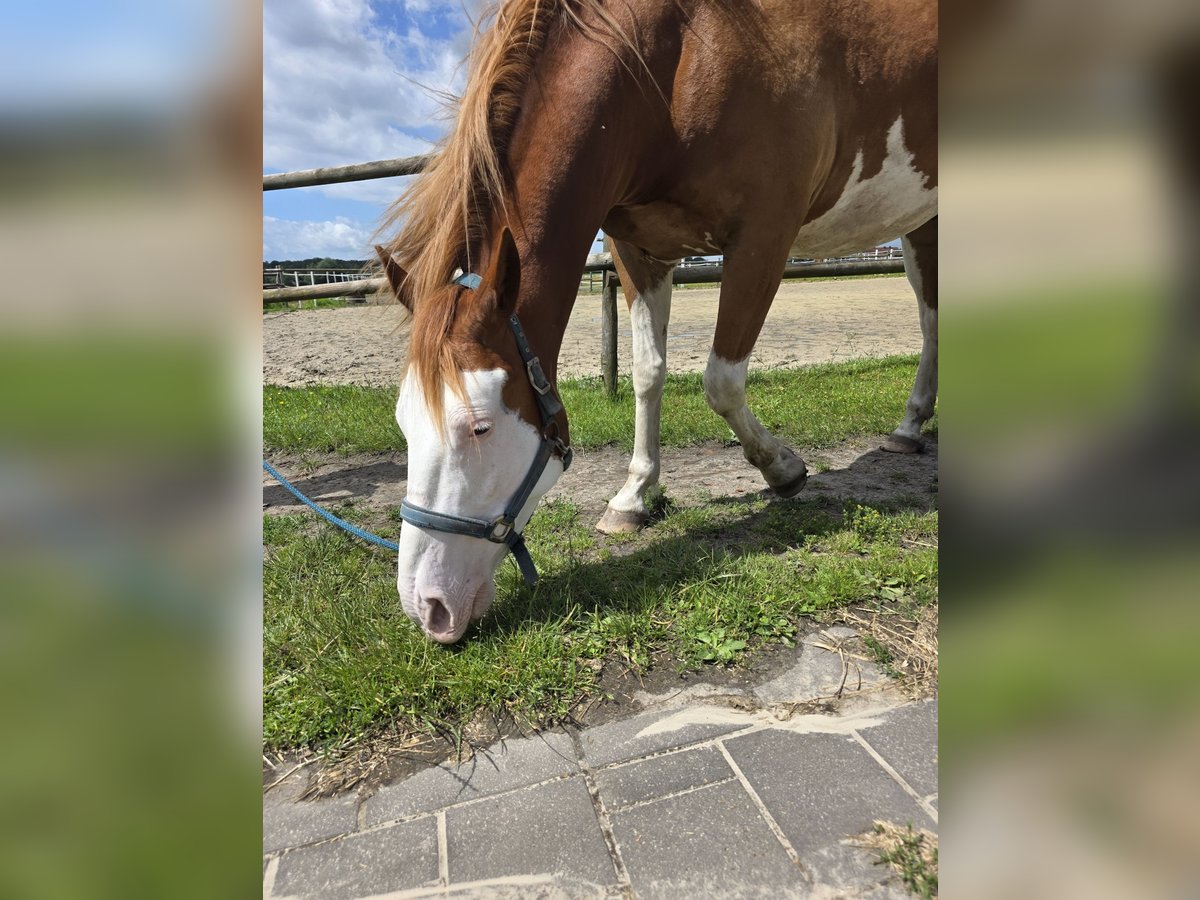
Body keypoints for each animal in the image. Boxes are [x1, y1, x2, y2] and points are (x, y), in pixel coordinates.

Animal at [376, 0, 937, 643]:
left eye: (480, 427)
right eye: (404, 422)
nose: (428, 609)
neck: (679, 58)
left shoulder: (763, 237)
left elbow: (721, 380)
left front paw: (783, 470)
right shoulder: (637, 253)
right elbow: (648, 373)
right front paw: (634, 497)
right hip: (923, 220)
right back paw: (909, 428)